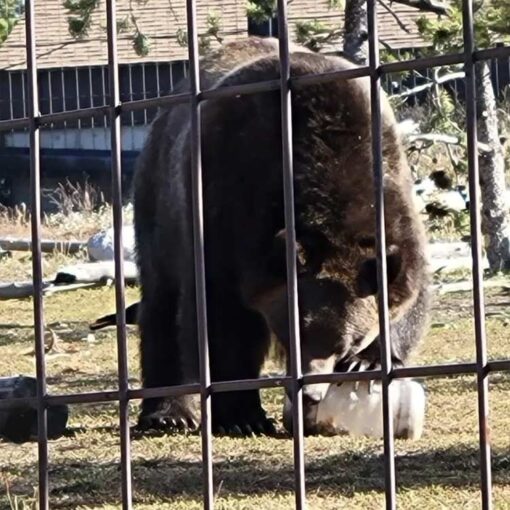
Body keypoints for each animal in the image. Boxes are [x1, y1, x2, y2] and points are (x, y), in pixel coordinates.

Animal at [131, 36, 430, 434]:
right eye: (295, 330)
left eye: (347, 341)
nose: (312, 393)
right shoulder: (226, 197)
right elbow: (220, 317)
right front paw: (242, 414)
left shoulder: (391, 184)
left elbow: (409, 290)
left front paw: (368, 361)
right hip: (160, 197)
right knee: (162, 302)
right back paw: (168, 412)